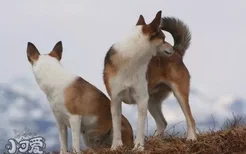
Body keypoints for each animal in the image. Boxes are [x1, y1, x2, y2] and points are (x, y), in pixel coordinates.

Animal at [103, 10, 174, 150]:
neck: (131, 60)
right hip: (152, 102)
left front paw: (139, 147)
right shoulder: (115, 99)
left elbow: (140, 126)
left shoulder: (142, 99)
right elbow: (116, 125)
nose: (172, 48)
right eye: (163, 39)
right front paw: (116, 146)